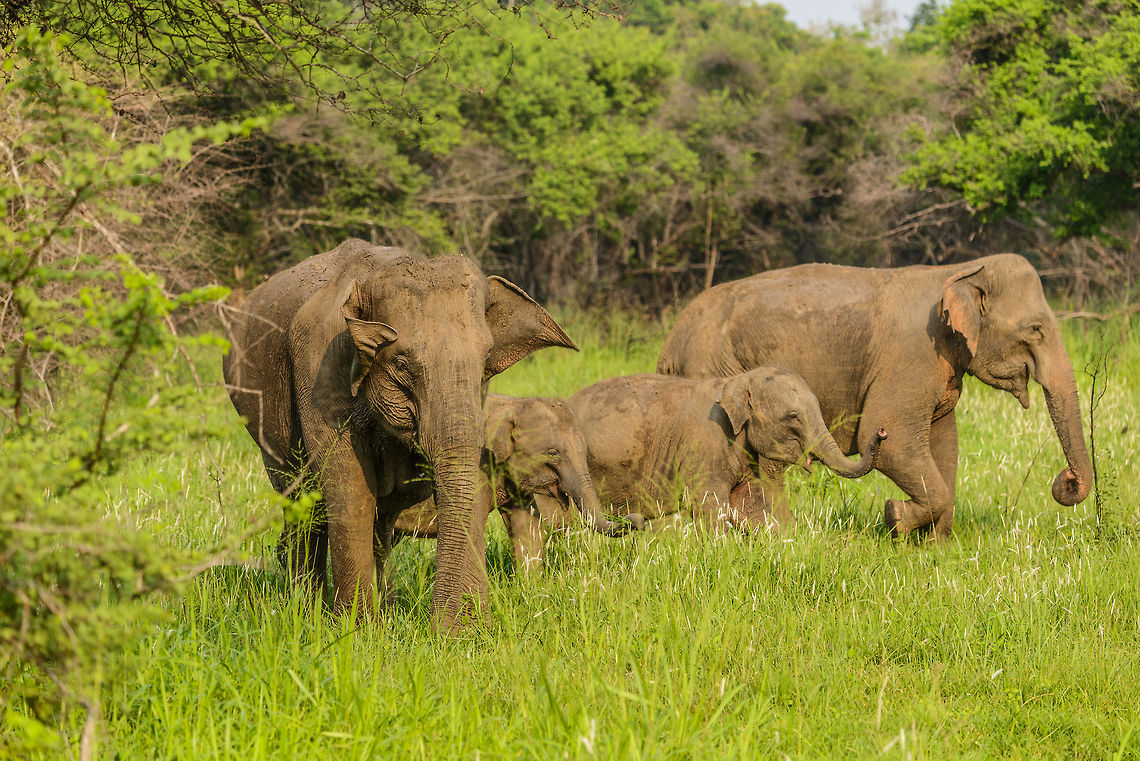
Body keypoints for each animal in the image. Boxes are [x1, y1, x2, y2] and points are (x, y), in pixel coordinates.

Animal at [222, 239, 577, 629]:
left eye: (485, 360)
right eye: (402, 364)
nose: (441, 627)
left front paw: (465, 629)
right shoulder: (319, 364)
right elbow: (349, 486)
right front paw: (355, 629)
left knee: (380, 518)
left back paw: (379, 608)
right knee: (304, 501)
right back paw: (308, 610)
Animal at [559, 368, 886, 531]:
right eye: (793, 417)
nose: (882, 431)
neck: (737, 382)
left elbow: (755, 506)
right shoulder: (705, 446)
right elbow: (708, 505)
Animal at [657, 253, 1093, 538]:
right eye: (1036, 329)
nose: (1066, 480)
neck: (958, 271)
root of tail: (669, 345)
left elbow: (944, 442)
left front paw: (933, 547)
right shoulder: (912, 357)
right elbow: (890, 436)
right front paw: (895, 517)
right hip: (714, 370)